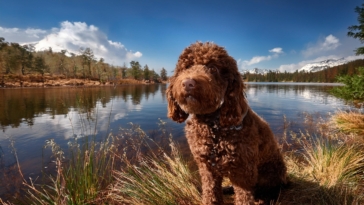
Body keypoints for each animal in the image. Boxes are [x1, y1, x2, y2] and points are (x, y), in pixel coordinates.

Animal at [166, 42, 288, 205]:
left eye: (213, 68)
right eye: (186, 67)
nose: (188, 83)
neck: (212, 126)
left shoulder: (244, 172)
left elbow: (244, 198)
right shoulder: (207, 169)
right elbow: (211, 194)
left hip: (270, 174)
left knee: (272, 190)